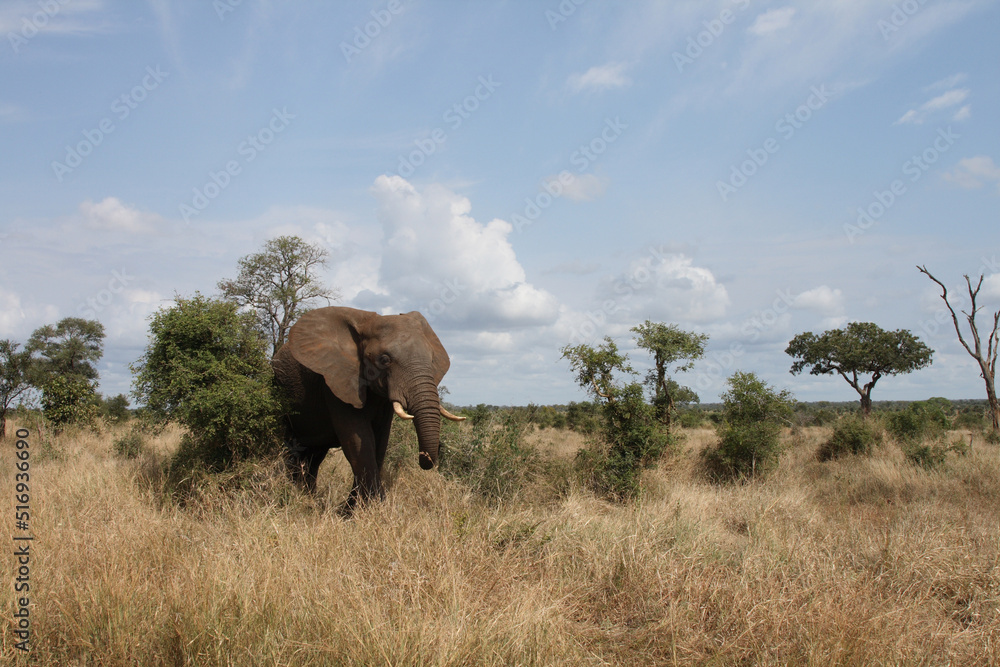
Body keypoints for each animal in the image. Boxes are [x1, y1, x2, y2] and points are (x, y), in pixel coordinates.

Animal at [271, 306, 464, 509]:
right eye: (384, 359)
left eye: (432, 359)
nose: (434, 453)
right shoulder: (337, 381)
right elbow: (358, 441)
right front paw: (372, 507)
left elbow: (380, 441)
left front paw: (356, 508)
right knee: (292, 449)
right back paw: (296, 494)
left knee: (314, 455)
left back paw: (308, 496)